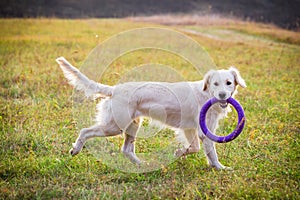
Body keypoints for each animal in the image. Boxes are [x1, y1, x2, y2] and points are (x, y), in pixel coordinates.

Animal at [56, 56, 246, 169]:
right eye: (215, 84)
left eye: (229, 83)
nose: (222, 95)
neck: (206, 94)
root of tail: (115, 89)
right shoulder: (204, 132)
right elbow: (211, 153)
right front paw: (220, 168)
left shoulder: (190, 129)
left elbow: (194, 148)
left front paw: (179, 153)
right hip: (114, 126)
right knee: (85, 131)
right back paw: (75, 149)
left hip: (132, 125)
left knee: (126, 150)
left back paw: (142, 164)